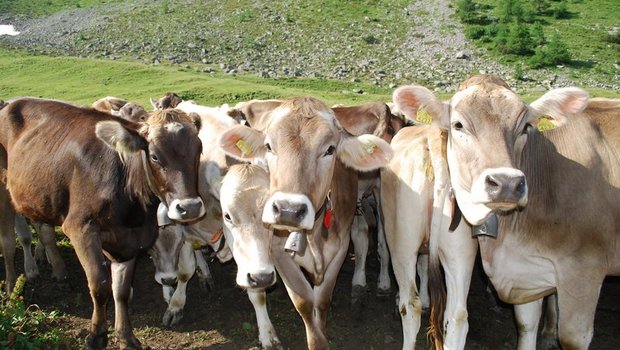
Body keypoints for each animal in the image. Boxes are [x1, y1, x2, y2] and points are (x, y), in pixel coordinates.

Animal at [0, 99, 205, 350]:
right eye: (155, 156)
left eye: (199, 149)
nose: (190, 208)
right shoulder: (80, 229)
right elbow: (100, 285)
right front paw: (96, 336)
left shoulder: (131, 239)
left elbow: (121, 290)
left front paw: (126, 337)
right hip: (4, 192)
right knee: (8, 244)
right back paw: (11, 290)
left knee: (44, 232)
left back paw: (59, 273)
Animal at [219, 95, 392, 350]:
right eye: (268, 146)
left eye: (330, 149)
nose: (288, 210)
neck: (313, 236)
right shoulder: (278, 254)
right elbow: (305, 302)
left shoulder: (339, 249)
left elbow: (322, 300)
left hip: (379, 191)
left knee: (378, 241)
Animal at [394, 76, 620, 350]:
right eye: (458, 124)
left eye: (525, 127)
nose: (506, 183)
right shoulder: (528, 273)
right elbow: (526, 324)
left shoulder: (584, 270)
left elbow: (569, 337)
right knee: (450, 314)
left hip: (410, 243)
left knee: (419, 308)